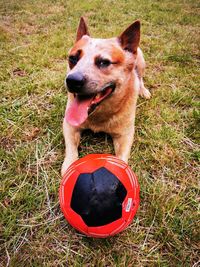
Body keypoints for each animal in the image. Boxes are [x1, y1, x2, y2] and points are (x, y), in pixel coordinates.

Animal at [61, 16, 150, 176]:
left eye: (104, 62)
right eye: (73, 58)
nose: (72, 81)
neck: (99, 116)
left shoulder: (125, 135)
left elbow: (121, 159)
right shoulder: (69, 125)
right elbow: (71, 149)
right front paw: (70, 166)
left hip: (141, 62)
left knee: (140, 77)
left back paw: (143, 90)